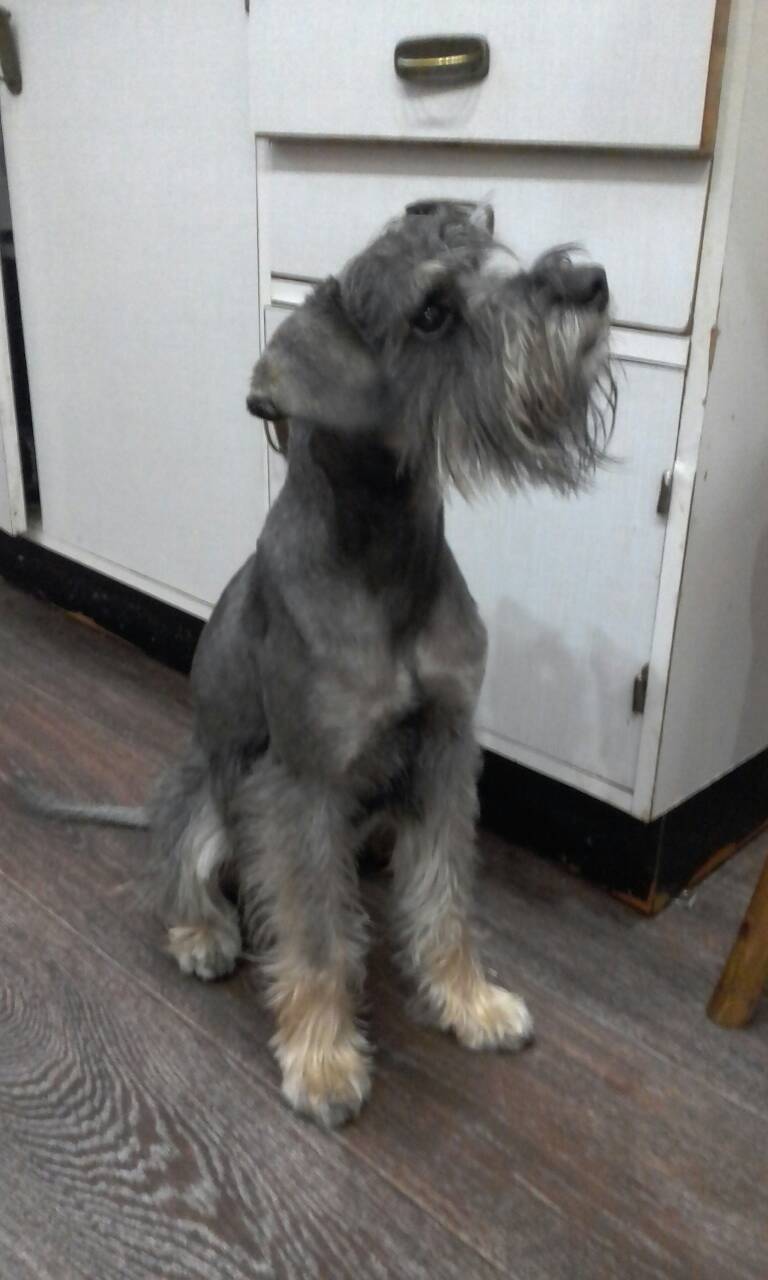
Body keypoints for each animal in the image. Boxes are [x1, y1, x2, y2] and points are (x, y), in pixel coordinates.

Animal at [25, 200, 614, 1127]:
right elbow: (316, 935)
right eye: (431, 312)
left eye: (490, 247)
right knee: (183, 876)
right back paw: (205, 936)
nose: (589, 284)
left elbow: (445, 896)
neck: (386, 559)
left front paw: (471, 1002)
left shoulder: (446, 749)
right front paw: (325, 1059)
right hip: (203, 799)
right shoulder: (302, 784)